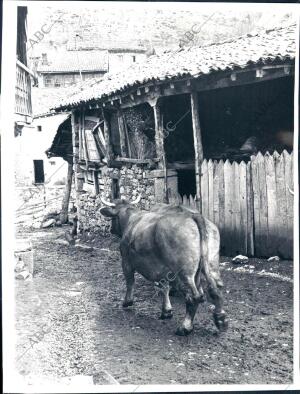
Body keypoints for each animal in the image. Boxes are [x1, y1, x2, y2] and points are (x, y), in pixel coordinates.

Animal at [99, 197, 229, 336]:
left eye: (113, 218)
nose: (111, 230)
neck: (132, 218)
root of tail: (194, 216)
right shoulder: (162, 268)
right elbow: (164, 287)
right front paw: (166, 310)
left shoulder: (126, 261)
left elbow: (130, 282)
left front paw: (127, 302)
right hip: (208, 266)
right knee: (215, 289)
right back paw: (221, 319)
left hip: (185, 273)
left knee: (194, 297)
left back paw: (185, 327)